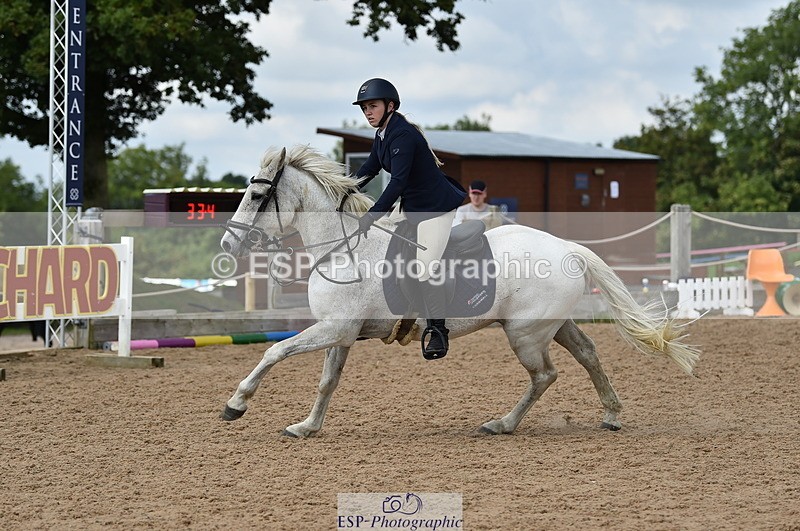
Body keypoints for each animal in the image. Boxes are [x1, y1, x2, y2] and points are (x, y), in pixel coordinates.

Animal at [219, 145, 699, 438]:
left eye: (256, 196)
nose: (228, 244)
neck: (342, 248)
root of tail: (567, 247)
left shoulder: (334, 329)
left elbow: (274, 351)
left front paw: (237, 403)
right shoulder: (341, 332)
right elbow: (326, 381)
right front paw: (307, 427)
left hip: (524, 334)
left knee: (545, 375)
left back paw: (503, 424)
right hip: (551, 323)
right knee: (587, 353)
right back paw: (611, 414)